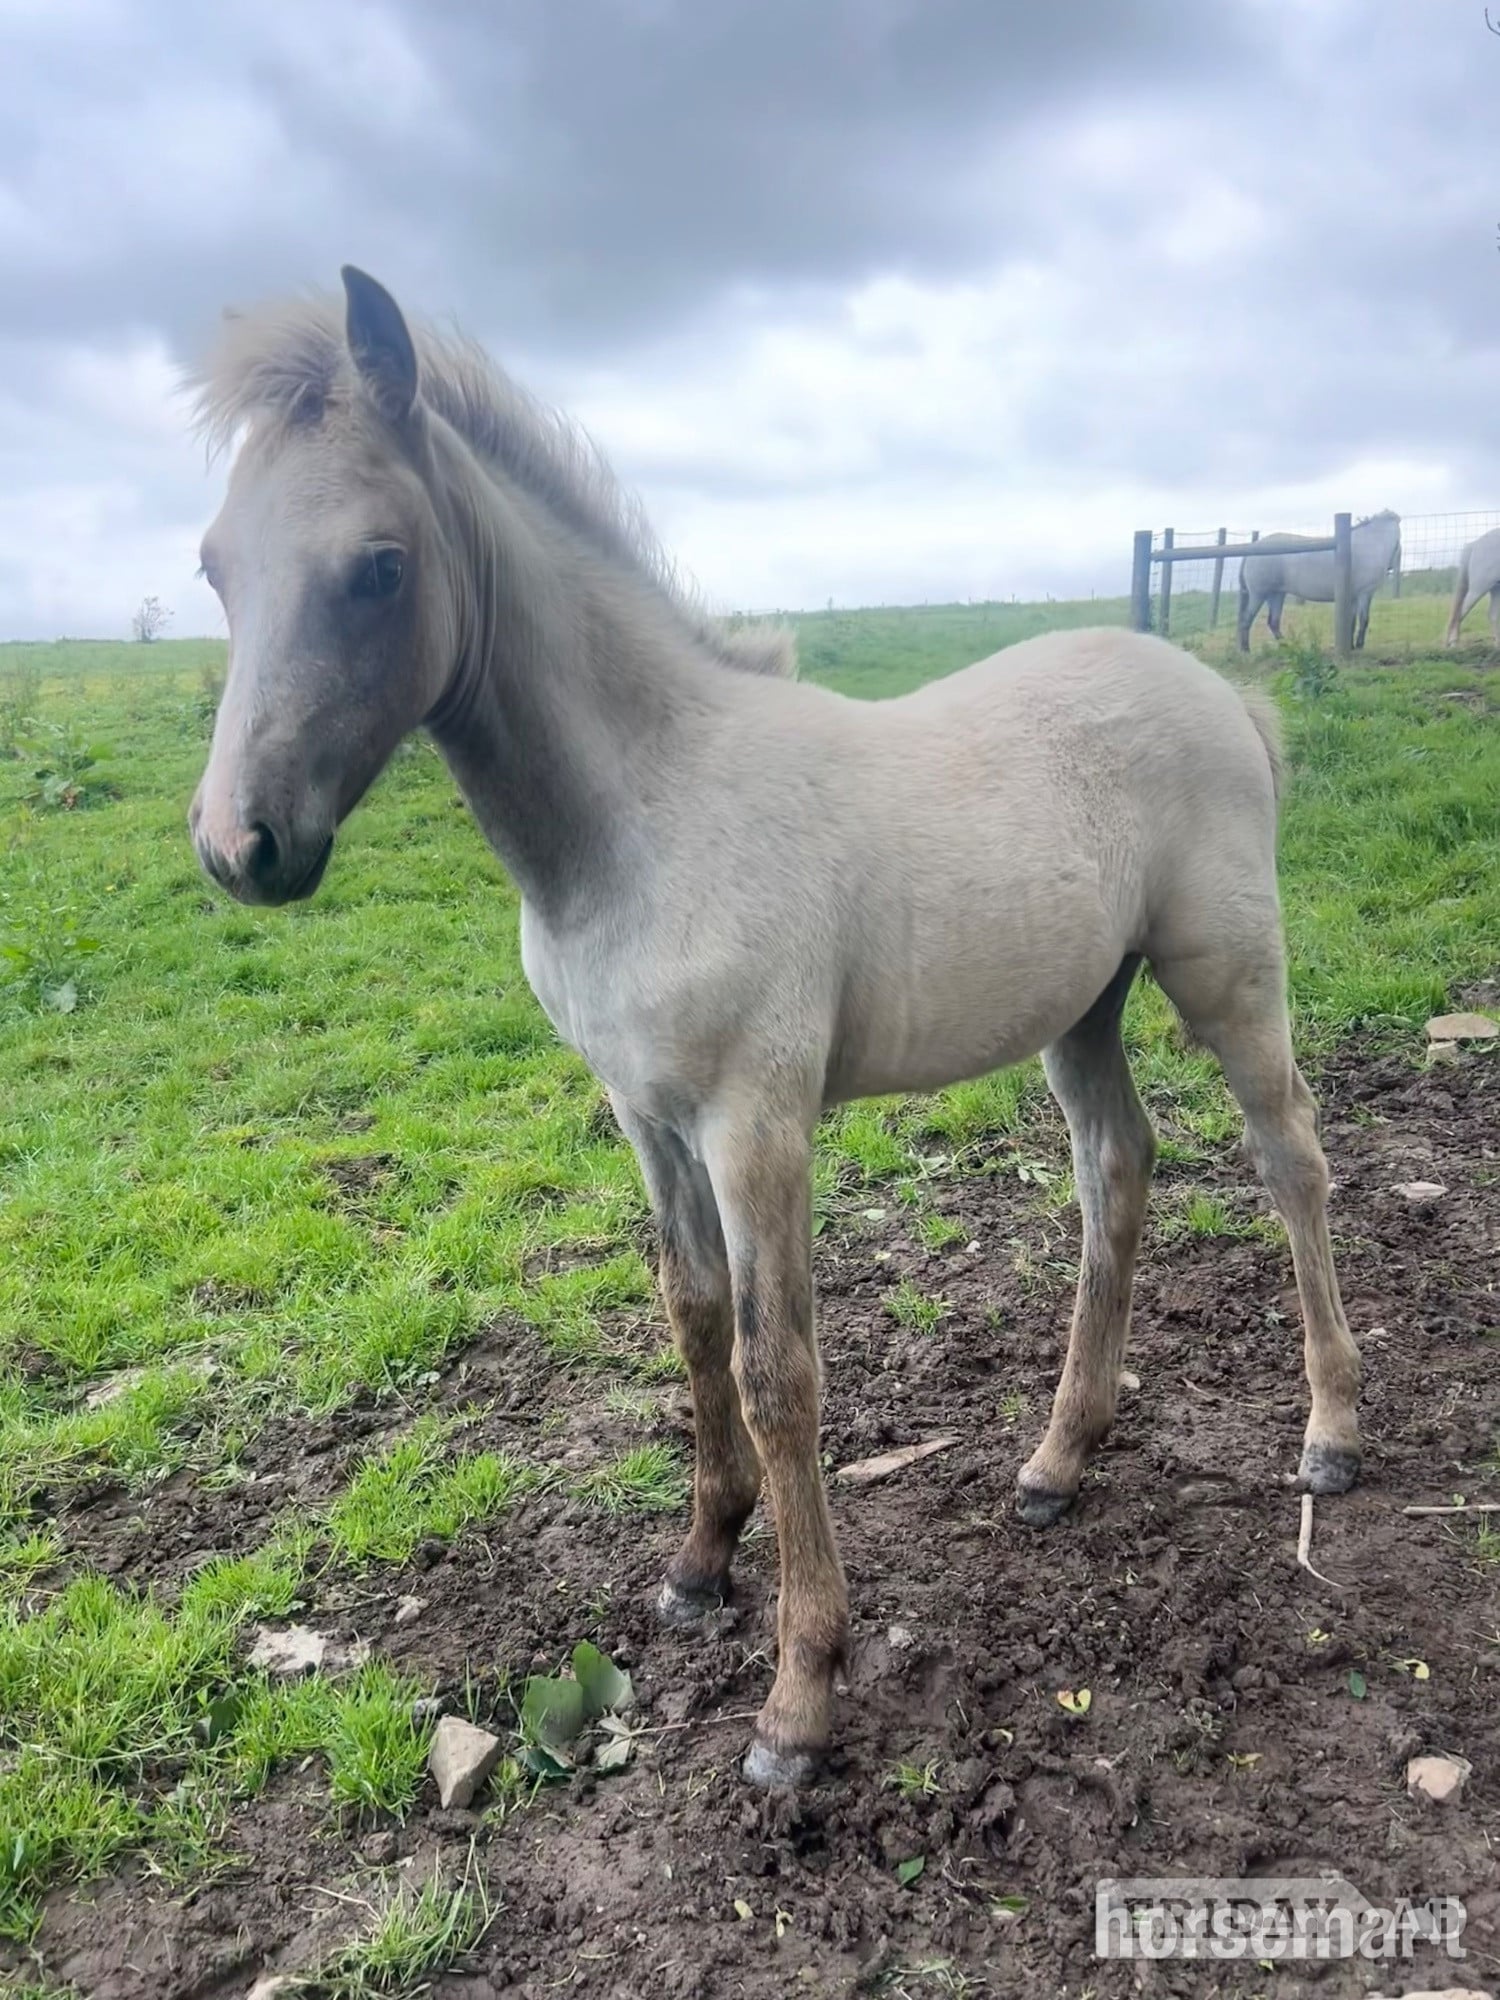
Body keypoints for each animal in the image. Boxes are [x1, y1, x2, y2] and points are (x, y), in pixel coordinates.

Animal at [185, 267, 1362, 1790]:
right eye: (216, 565)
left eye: (379, 564)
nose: (240, 847)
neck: (640, 816)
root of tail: (1223, 689)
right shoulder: (644, 1113)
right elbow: (690, 1317)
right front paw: (699, 1559)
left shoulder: (758, 1118)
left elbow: (776, 1366)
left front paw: (800, 1696)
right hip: (1081, 1005)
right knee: (1120, 1165)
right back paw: (1058, 1461)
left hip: (1224, 972)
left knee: (1292, 1162)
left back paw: (1331, 1433)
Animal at [1237, 510, 1401, 651]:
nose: (1391, 567)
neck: (1370, 544)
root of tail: (1252, 549)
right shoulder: (1365, 594)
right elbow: (1364, 620)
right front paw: (1359, 646)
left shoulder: (1353, 597)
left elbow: (1351, 621)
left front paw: (1351, 646)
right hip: (1259, 595)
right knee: (1246, 620)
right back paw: (1246, 651)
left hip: (1276, 595)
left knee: (1273, 622)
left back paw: (1288, 648)